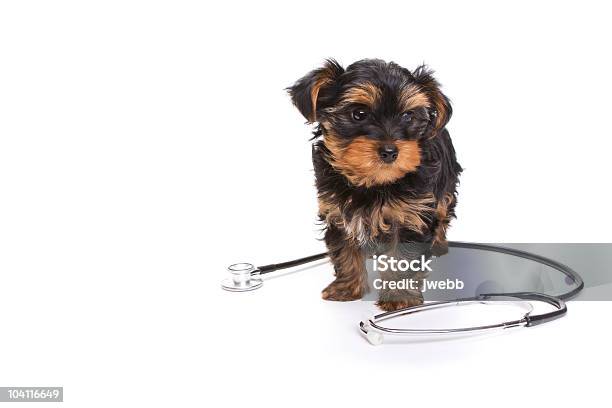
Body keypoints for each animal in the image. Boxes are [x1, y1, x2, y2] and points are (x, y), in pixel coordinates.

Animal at [290, 59, 462, 310]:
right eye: (359, 114)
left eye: (408, 116)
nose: (390, 151)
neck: (373, 182)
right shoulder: (337, 212)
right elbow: (343, 250)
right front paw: (347, 288)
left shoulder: (412, 216)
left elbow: (404, 259)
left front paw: (399, 297)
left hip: (445, 187)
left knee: (443, 213)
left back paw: (439, 244)